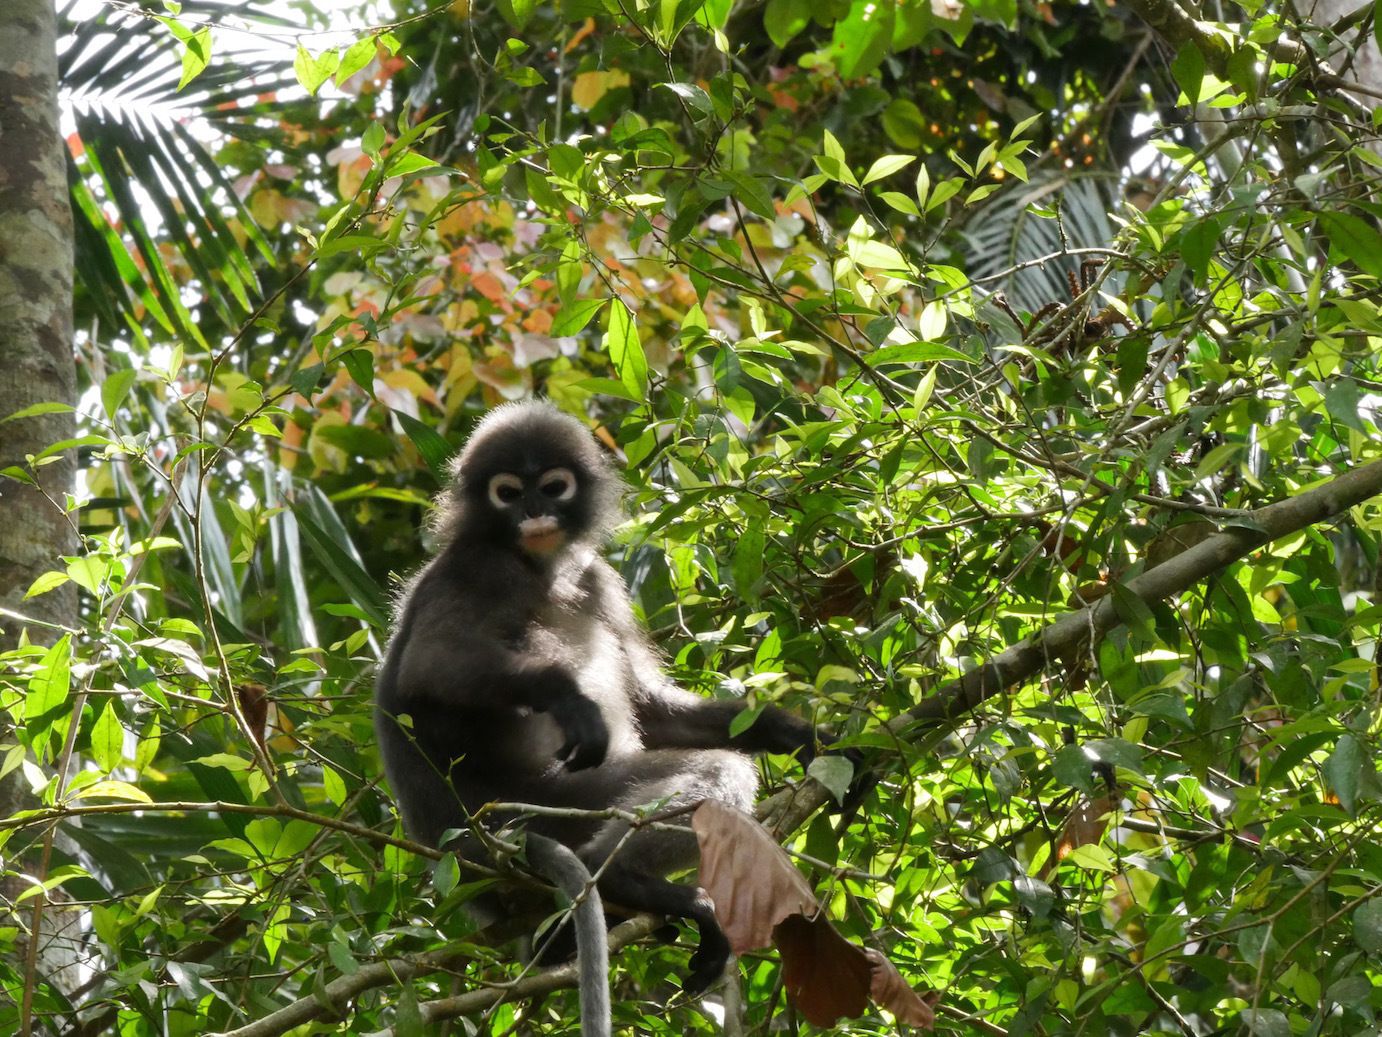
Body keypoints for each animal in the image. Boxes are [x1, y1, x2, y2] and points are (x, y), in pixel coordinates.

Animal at [374, 400, 828, 998]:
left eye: (552, 486)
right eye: (507, 493)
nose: (535, 512)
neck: (542, 568)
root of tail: (462, 849)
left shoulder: (595, 577)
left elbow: (650, 708)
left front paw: (789, 733)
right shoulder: (477, 567)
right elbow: (430, 665)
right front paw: (571, 703)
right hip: (541, 809)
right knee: (719, 772)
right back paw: (619, 878)